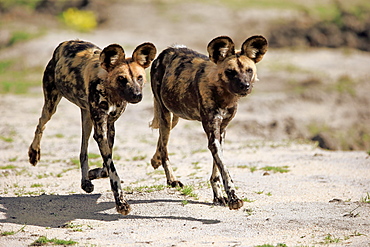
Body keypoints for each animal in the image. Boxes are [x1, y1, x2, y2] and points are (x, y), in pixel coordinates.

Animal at [28, 40, 156, 214]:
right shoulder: (101, 131)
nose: (137, 95)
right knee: (41, 124)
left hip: (87, 119)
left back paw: (85, 182)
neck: (110, 90)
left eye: (140, 77)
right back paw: (34, 153)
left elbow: (106, 167)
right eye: (121, 78)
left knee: (83, 151)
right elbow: (112, 171)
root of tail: (64, 43)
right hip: (51, 106)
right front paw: (121, 203)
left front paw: (94, 173)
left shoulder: (109, 127)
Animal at [149, 34, 268, 208]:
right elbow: (224, 170)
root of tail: (168, 50)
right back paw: (172, 179)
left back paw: (155, 160)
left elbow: (217, 170)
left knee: (161, 142)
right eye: (230, 72)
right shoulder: (213, 135)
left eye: (249, 70)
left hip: (172, 117)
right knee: (164, 147)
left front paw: (218, 196)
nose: (244, 86)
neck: (225, 96)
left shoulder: (222, 131)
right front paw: (233, 198)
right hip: (165, 115)